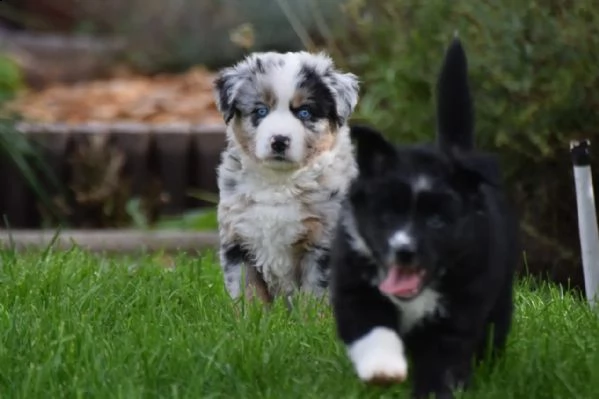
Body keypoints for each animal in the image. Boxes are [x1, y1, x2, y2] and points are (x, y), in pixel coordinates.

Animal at [213, 51, 358, 304]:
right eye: (261, 111)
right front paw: (250, 314)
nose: (279, 140)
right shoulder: (237, 240)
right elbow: (247, 292)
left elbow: (314, 294)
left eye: (304, 112)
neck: (278, 183)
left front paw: (310, 315)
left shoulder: (321, 243)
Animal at [328, 38, 520, 399]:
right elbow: (372, 328)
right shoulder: (354, 286)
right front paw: (383, 369)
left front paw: (434, 391)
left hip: (500, 294)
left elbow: (442, 362)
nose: (405, 251)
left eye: (437, 222)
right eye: (387, 214)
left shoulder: (462, 308)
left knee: (494, 332)